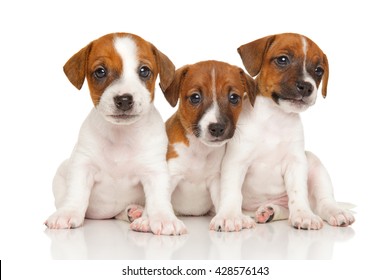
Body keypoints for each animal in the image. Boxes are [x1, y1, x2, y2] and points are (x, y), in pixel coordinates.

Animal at [43, 31, 187, 235]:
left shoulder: (154, 171)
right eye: (100, 71)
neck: (121, 134)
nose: (124, 100)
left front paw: (164, 218)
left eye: (144, 71)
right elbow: (76, 193)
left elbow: (159, 199)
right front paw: (68, 212)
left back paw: (135, 211)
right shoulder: (83, 166)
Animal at [162, 60, 258, 219]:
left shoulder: (216, 180)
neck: (199, 149)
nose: (217, 128)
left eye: (233, 97)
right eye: (195, 97)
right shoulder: (172, 173)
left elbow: (223, 201)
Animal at [212, 32, 354, 231]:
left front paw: (303, 214)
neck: (275, 117)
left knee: (322, 201)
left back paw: (334, 212)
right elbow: (232, 192)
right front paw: (229, 216)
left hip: (314, 163)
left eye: (318, 70)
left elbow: (297, 192)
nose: (307, 86)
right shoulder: (236, 162)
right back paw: (268, 211)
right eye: (282, 60)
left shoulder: (295, 163)